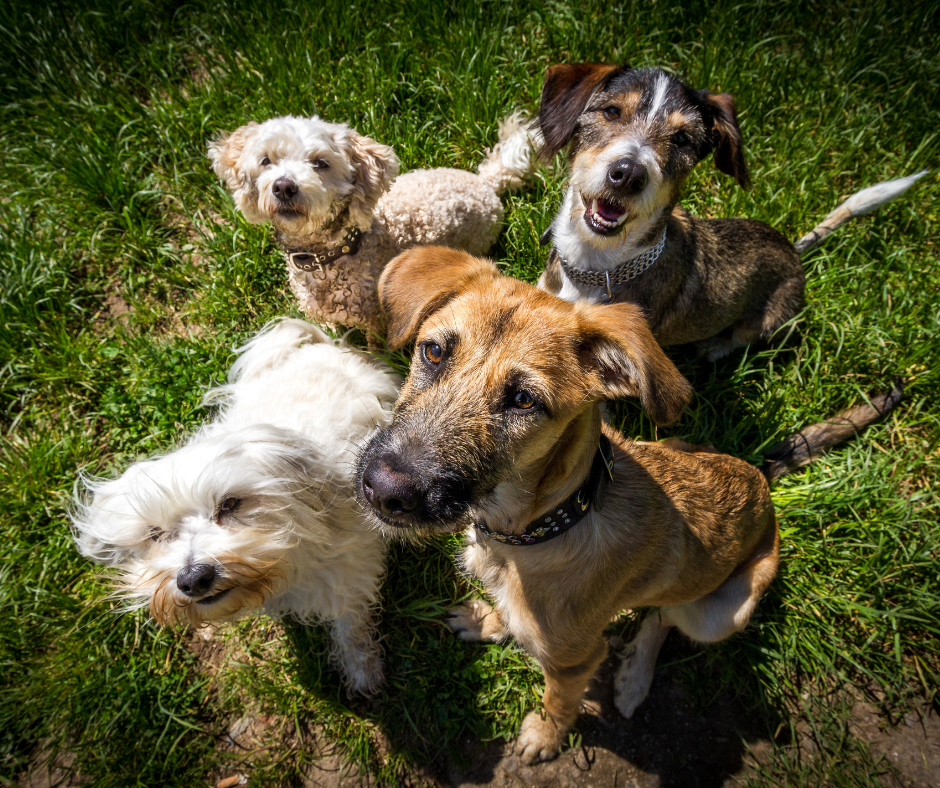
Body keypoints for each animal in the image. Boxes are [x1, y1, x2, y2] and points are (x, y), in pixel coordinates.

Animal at [70, 320, 400, 696]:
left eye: (230, 503)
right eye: (155, 533)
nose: (193, 578)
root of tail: (318, 345)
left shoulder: (349, 576)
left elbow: (351, 627)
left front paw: (362, 670)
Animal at [354, 248, 904, 764]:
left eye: (525, 401)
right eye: (433, 351)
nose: (384, 488)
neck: (542, 525)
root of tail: (760, 477)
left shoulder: (575, 663)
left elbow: (559, 701)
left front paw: (544, 738)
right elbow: (515, 618)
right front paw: (490, 619)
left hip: (722, 613)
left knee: (663, 617)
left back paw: (634, 678)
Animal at [536, 64, 924, 360]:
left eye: (682, 139)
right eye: (612, 111)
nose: (629, 174)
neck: (595, 264)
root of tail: (793, 252)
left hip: (766, 323)